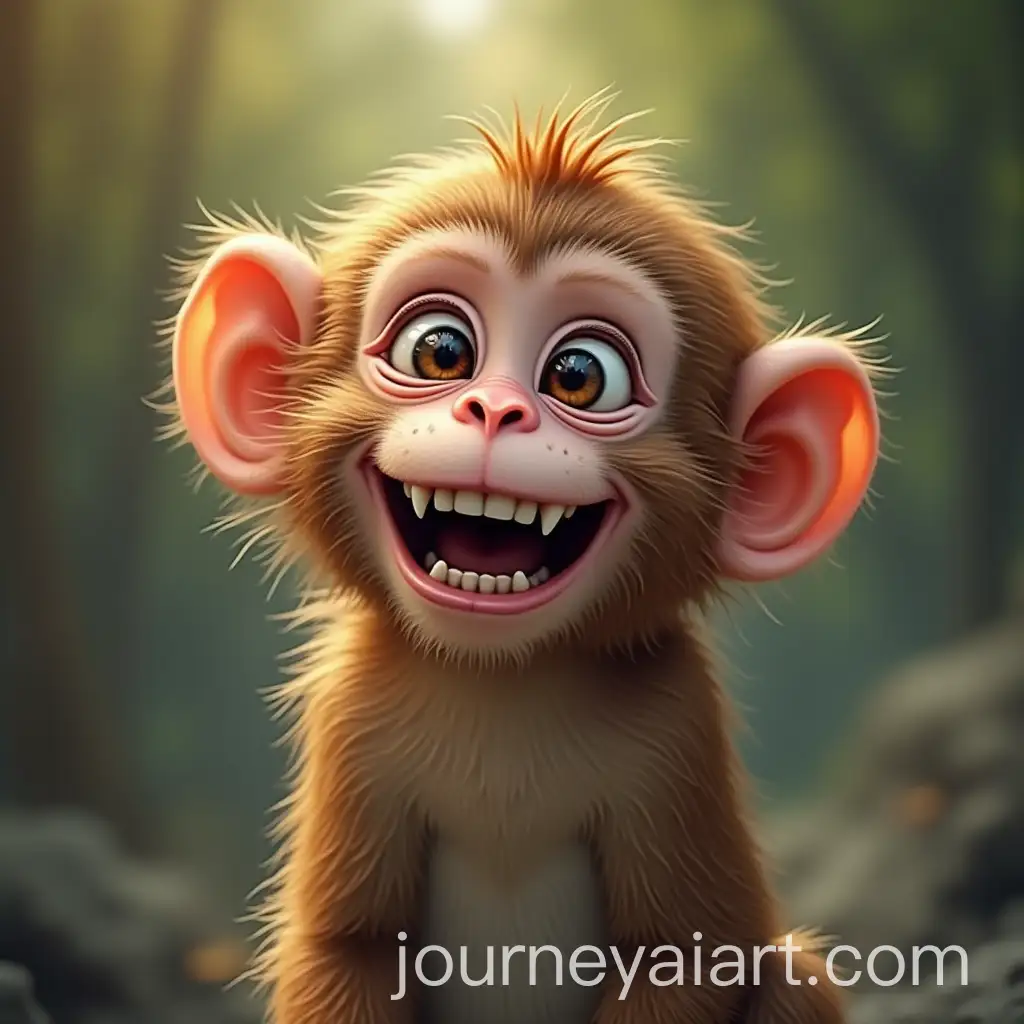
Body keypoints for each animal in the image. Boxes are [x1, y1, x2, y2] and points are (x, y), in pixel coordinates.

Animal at [161, 93, 882, 1024]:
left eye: (579, 374)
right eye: (440, 351)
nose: (496, 410)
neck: (503, 683)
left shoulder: (677, 732)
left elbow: (688, 958)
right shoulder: (352, 718)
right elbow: (348, 946)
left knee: (793, 977)